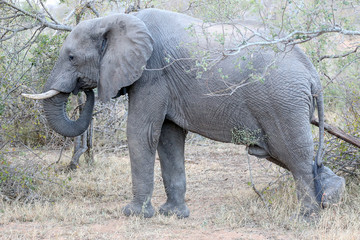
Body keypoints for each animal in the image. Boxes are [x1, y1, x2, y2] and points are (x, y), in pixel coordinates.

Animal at [23, 8, 344, 218]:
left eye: (72, 57)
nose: (84, 89)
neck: (114, 18)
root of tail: (311, 71)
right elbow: (168, 138)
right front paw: (173, 214)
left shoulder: (152, 73)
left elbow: (141, 133)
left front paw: (134, 214)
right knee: (284, 153)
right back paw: (330, 196)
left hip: (282, 101)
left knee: (294, 154)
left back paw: (307, 217)